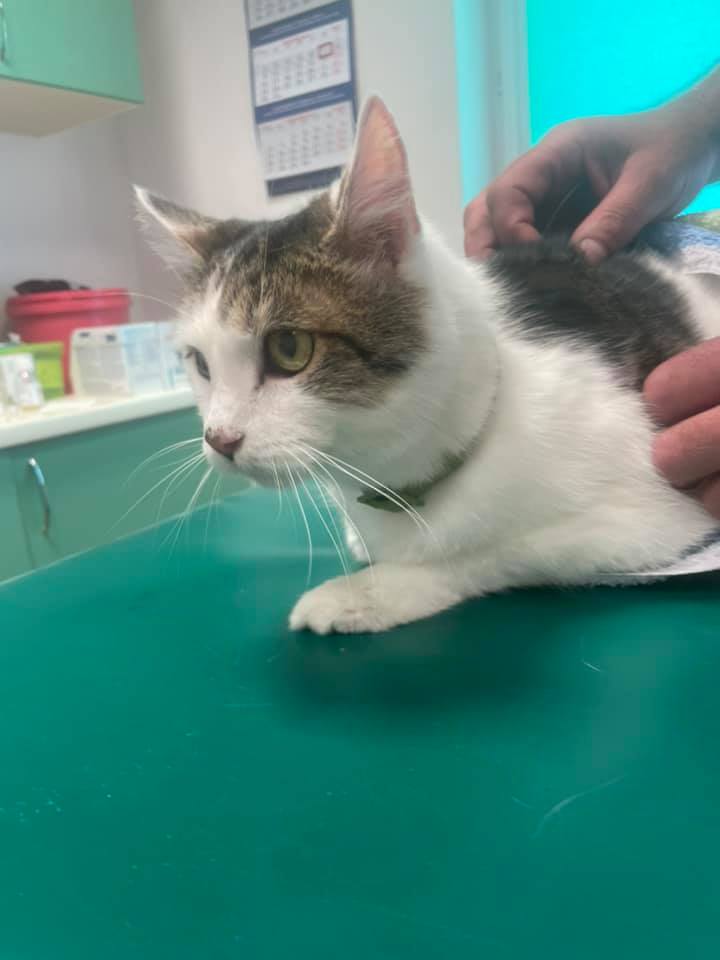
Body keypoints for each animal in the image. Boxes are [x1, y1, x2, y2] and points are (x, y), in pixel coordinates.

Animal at [137, 95, 720, 635]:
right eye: (200, 363)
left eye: (289, 348)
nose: (219, 439)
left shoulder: (653, 512)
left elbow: (495, 549)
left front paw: (366, 592)